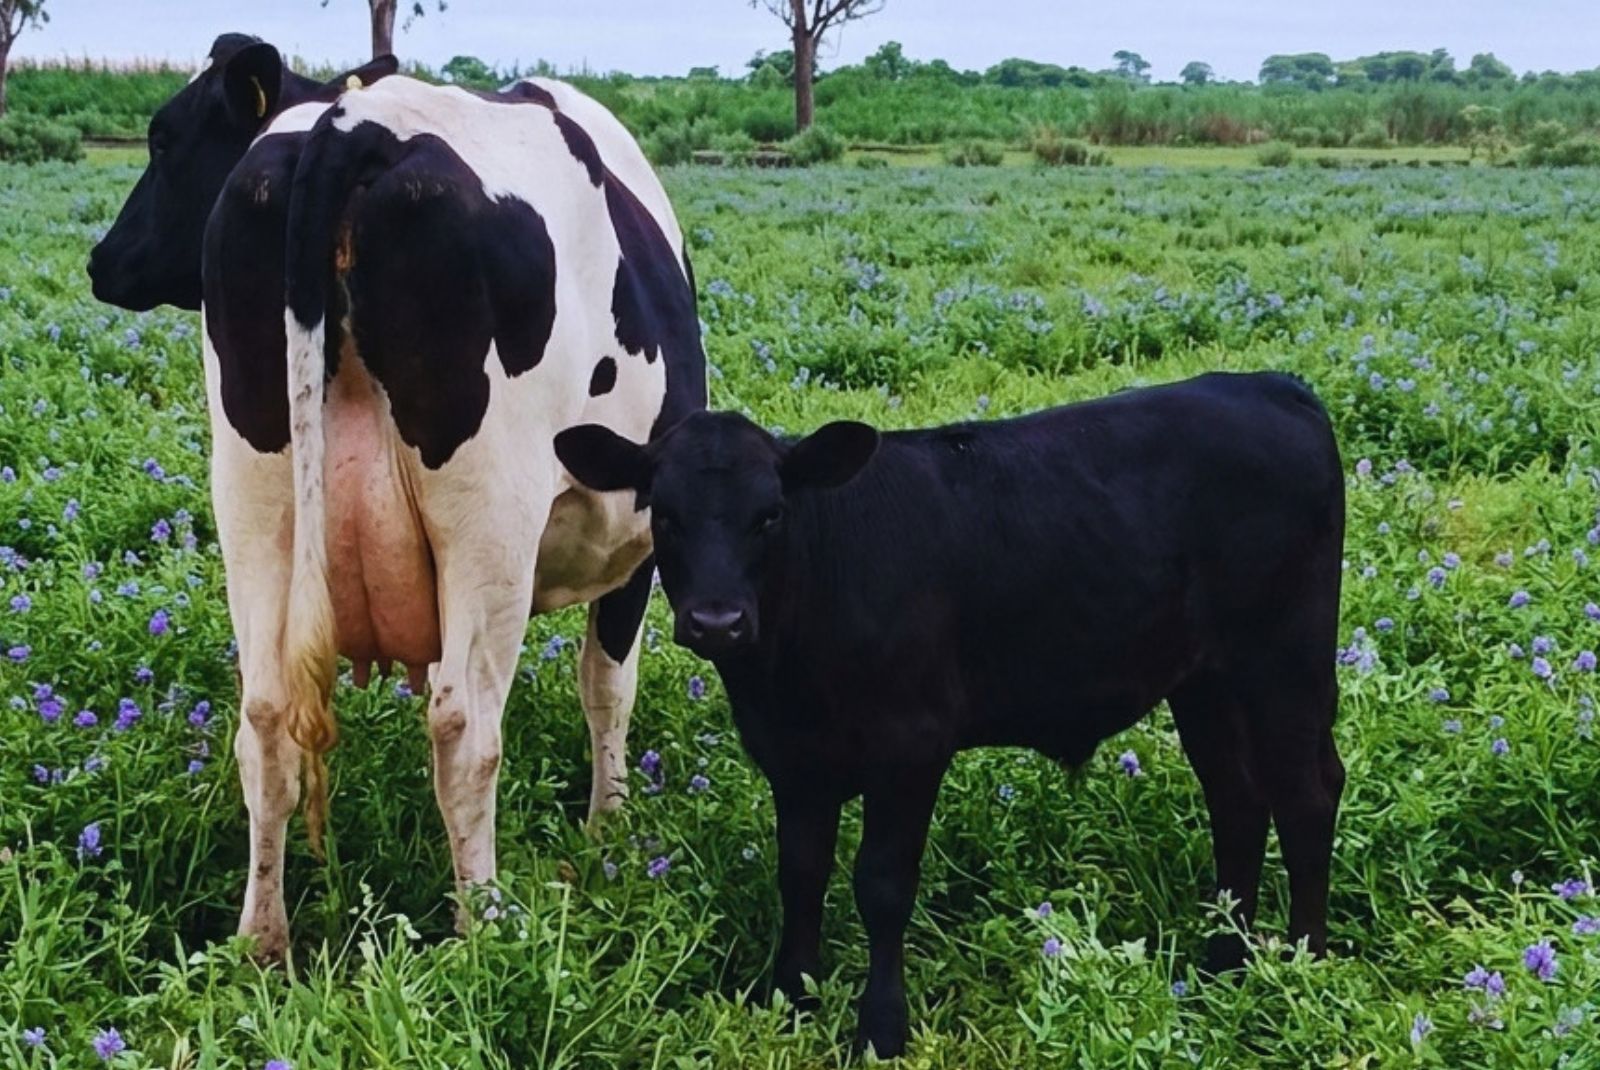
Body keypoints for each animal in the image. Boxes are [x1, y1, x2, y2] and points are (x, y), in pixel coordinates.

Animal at [87, 34, 705, 960]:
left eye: (165, 141)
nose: (102, 261)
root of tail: (352, 126)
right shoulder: (634, 537)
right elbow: (607, 688)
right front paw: (610, 835)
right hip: (488, 524)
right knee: (465, 732)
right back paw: (487, 934)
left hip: (252, 502)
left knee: (264, 719)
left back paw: (262, 946)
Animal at [555, 371, 1346, 1058]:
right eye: (664, 513)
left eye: (770, 514)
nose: (717, 621)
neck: (787, 671)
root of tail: (1266, 385)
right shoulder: (795, 758)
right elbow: (800, 872)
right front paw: (792, 996)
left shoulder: (911, 745)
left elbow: (881, 886)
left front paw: (881, 1028)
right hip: (1206, 680)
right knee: (1236, 798)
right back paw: (1222, 962)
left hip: (1286, 661)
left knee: (1306, 794)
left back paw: (1302, 962)